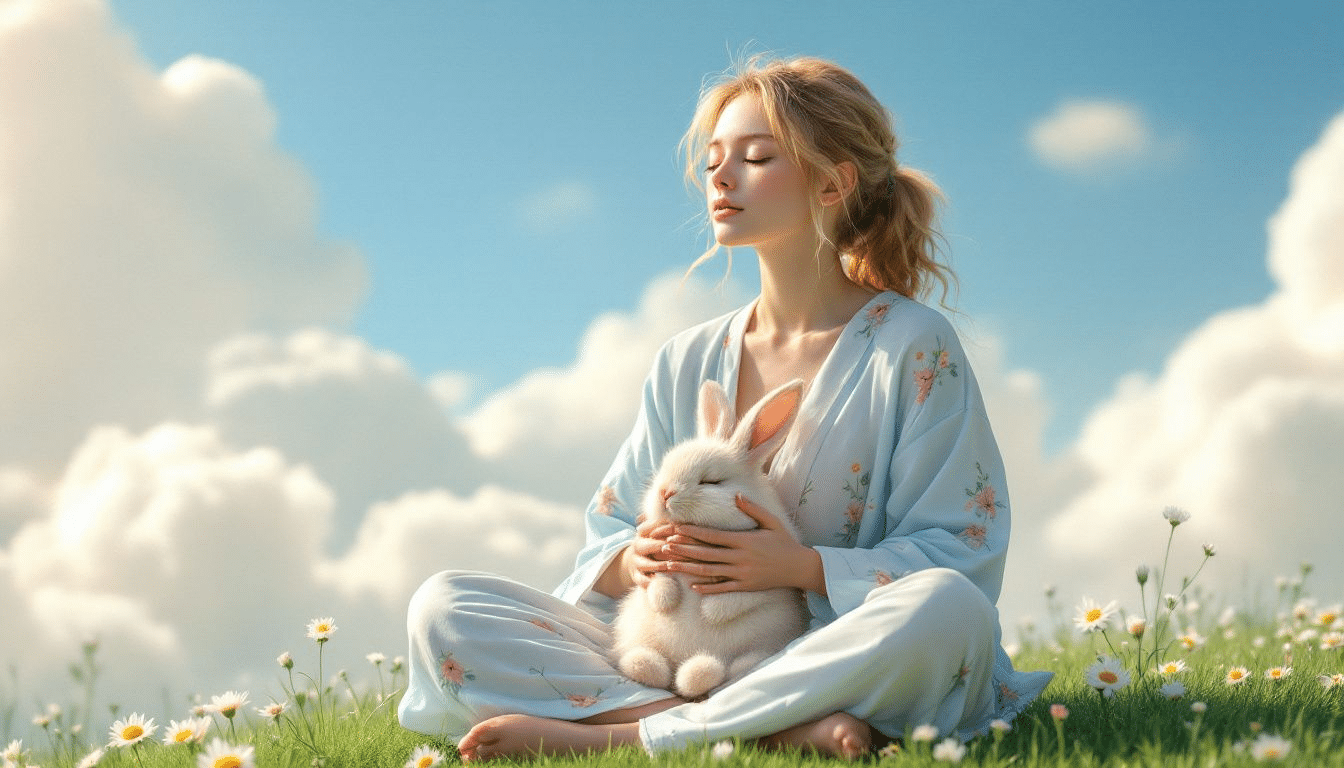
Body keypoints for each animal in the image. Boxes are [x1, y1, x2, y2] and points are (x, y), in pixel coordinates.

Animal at [612, 379, 806, 704]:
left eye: (711, 481)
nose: (665, 492)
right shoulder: (660, 563)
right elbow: (658, 580)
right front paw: (666, 601)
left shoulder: (770, 576)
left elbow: (744, 594)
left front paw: (710, 612)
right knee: (651, 667)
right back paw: (654, 668)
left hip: (762, 647)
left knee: (730, 669)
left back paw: (702, 672)